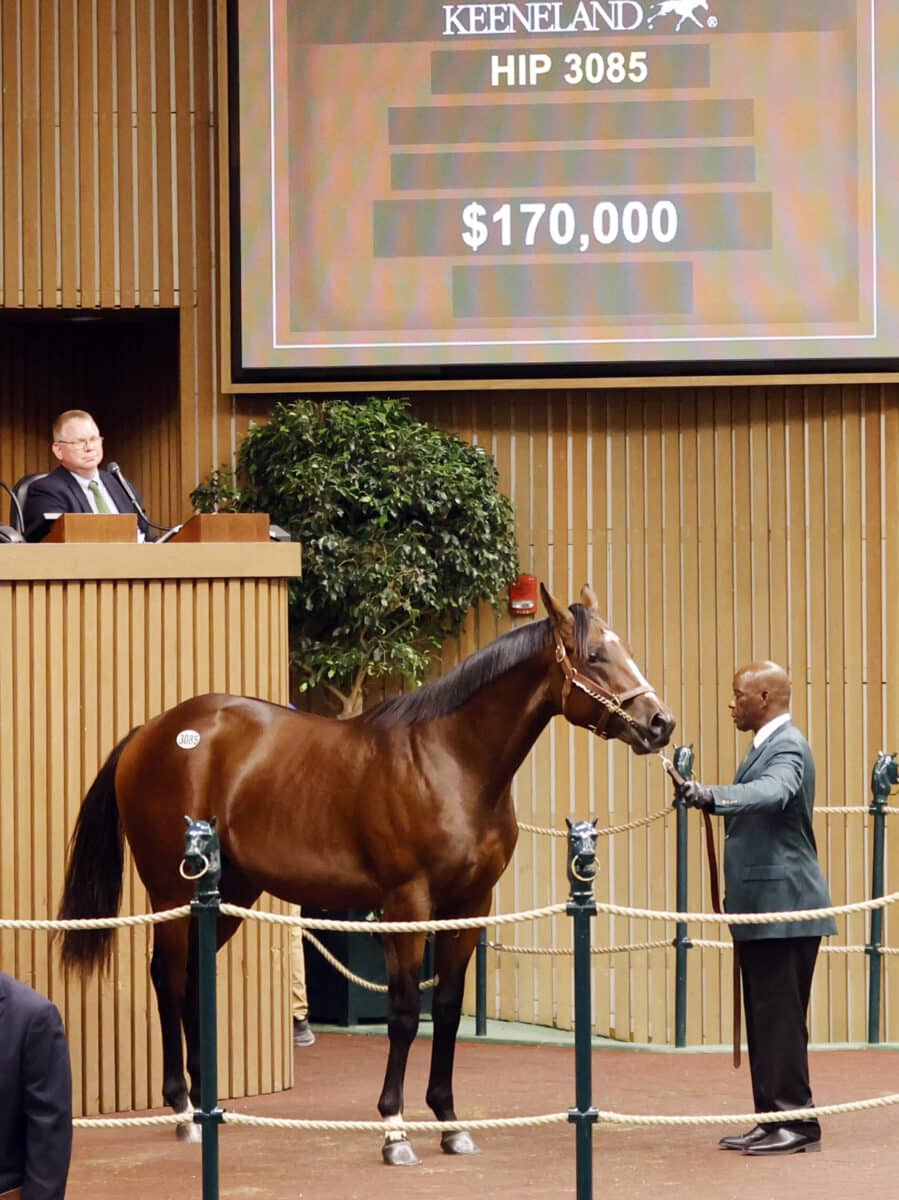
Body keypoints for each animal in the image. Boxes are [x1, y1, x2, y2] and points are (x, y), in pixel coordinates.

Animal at [57, 580, 672, 1161]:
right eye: (594, 655)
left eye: (622, 648)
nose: (659, 723)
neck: (451, 762)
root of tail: (153, 729)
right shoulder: (406, 904)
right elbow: (403, 1014)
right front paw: (394, 1129)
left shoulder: (471, 906)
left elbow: (446, 1009)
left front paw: (449, 1123)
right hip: (170, 890)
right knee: (169, 976)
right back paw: (184, 1110)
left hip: (229, 892)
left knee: (191, 982)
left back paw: (209, 1104)